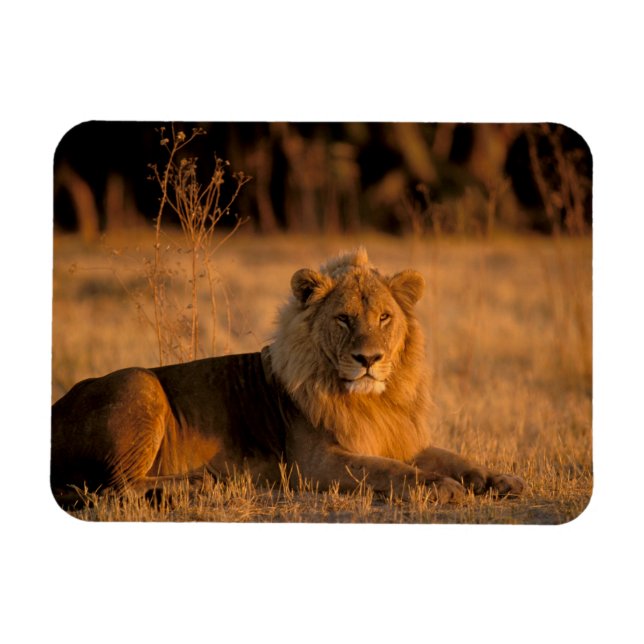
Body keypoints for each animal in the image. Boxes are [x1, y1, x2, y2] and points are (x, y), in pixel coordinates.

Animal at [51, 247, 524, 508]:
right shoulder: (315, 464)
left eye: (385, 318)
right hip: (140, 382)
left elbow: (453, 457)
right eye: (343, 319)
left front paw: (499, 479)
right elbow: (391, 471)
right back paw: (197, 485)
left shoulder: (398, 437)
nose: (368, 359)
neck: (372, 400)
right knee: (115, 486)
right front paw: (439, 487)